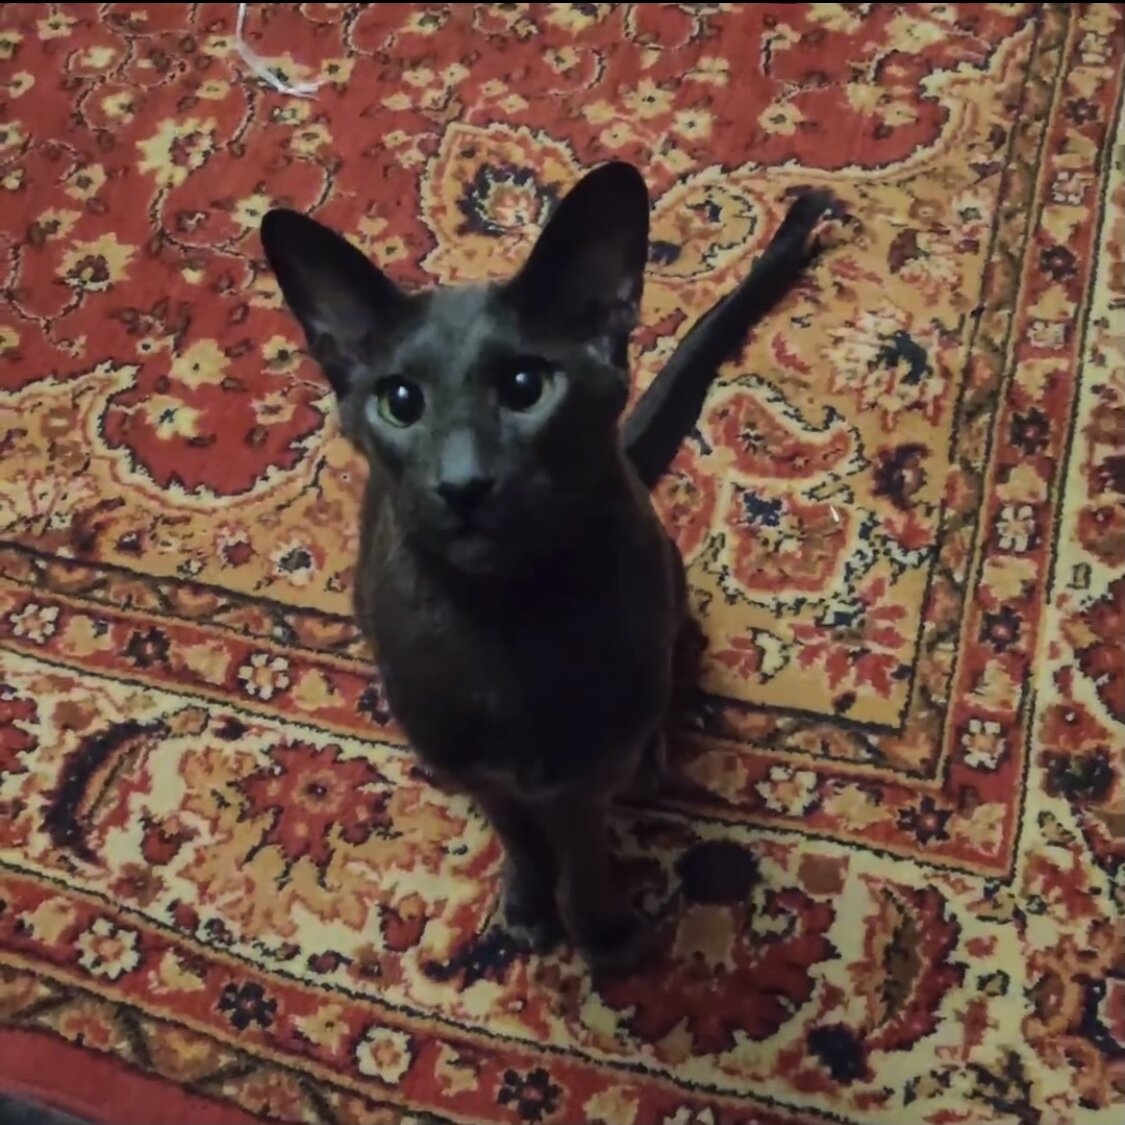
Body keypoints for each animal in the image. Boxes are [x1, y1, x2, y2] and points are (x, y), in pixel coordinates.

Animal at [261, 162, 835, 973]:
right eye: (399, 401)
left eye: (526, 387)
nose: (462, 482)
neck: (509, 625)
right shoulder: (488, 775)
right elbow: (521, 838)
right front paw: (532, 908)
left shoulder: (585, 773)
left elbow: (582, 850)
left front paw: (601, 930)